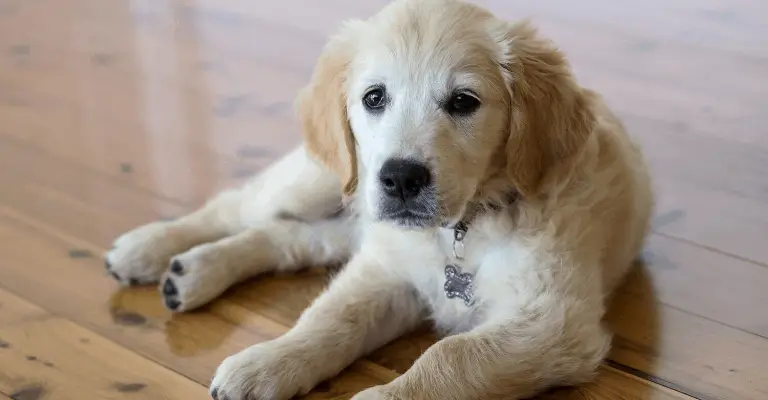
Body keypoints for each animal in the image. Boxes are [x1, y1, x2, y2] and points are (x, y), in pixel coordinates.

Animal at [102, 0, 656, 398]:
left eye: (464, 102)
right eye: (374, 97)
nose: (401, 179)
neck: (460, 228)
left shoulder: (551, 321)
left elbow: (450, 356)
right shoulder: (388, 270)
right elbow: (332, 317)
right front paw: (271, 360)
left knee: (289, 239)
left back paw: (192, 272)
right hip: (326, 179)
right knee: (238, 206)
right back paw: (147, 248)